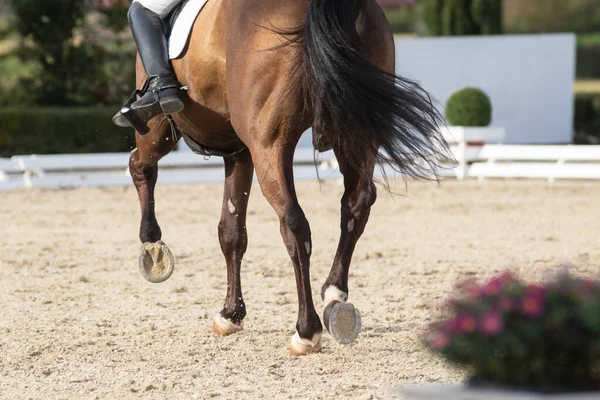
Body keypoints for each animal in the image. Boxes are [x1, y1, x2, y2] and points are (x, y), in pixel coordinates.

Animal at [131, 0, 450, 356]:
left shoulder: (172, 132)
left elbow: (143, 168)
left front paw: (152, 245)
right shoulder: (239, 151)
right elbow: (232, 232)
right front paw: (231, 314)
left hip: (266, 145)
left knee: (294, 224)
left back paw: (306, 330)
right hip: (355, 131)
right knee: (355, 206)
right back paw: (335, 297)